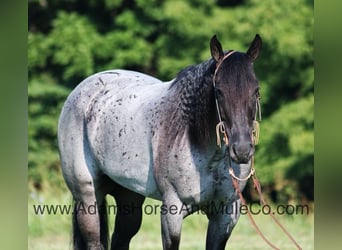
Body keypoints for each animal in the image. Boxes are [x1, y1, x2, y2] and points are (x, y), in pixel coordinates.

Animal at [58, 34, 262, 249]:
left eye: (256, 91)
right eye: (219, 91)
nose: (242, 150)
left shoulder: (225, 215)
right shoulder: (172, 211)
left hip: (129, 198)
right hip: (88, 198)